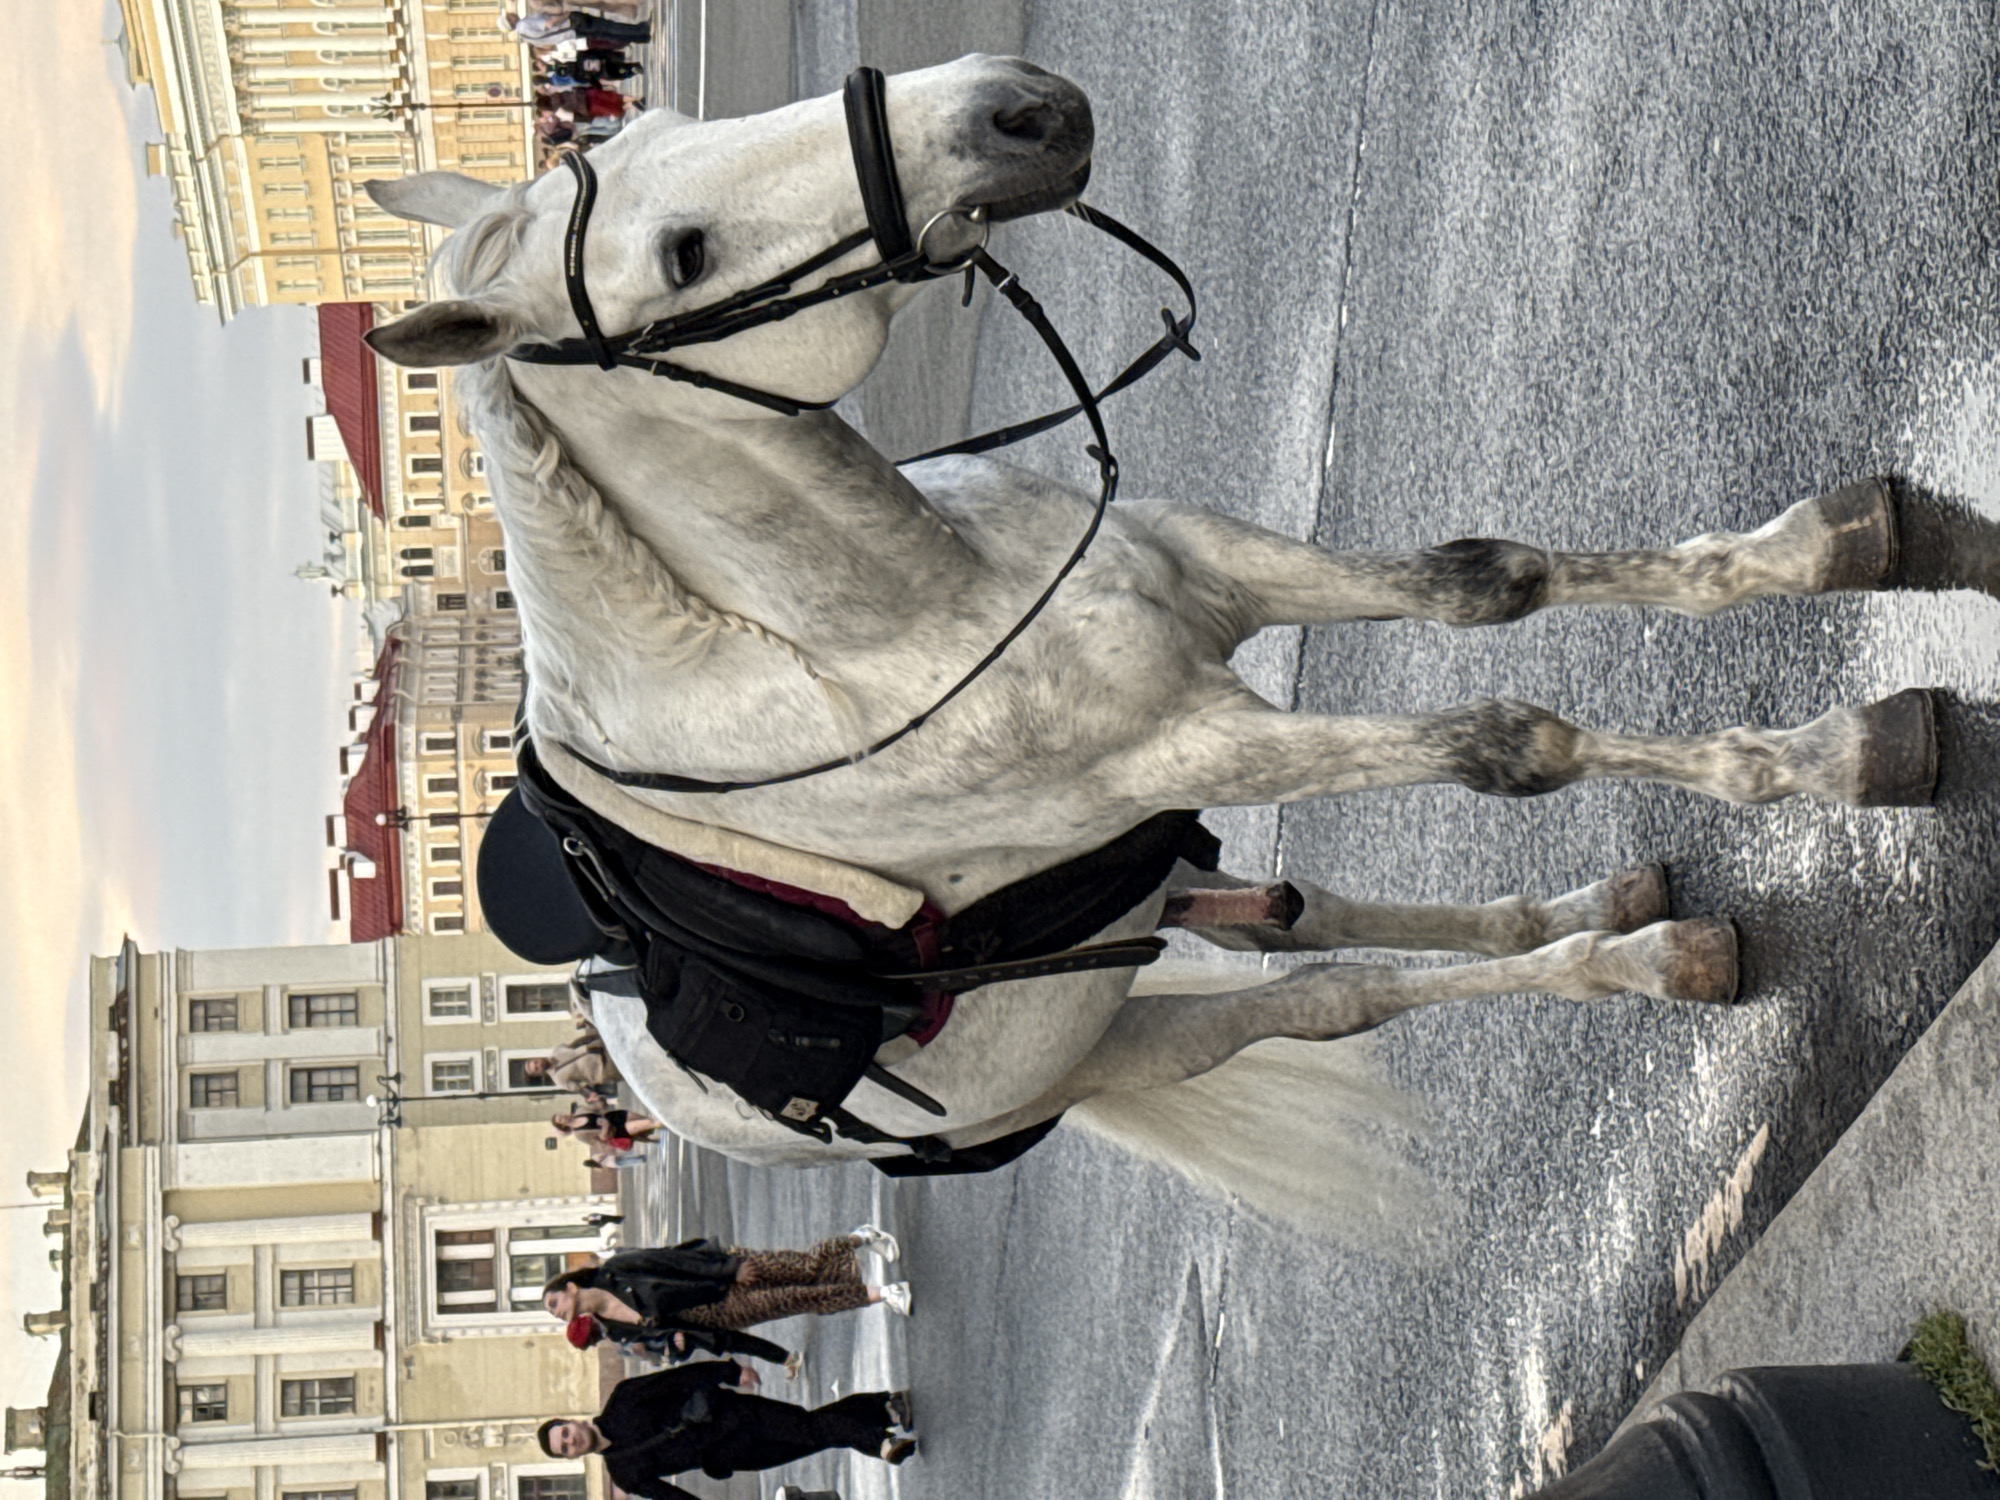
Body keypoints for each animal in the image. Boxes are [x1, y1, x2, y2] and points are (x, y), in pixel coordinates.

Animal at [358, 56, 1936, 1194]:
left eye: (675, 120)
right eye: (684, 255)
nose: (1019, 107)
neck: (885, 619)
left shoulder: (1219, 578)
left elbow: (1490, 583)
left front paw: (1815, 550)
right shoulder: (1192, 747)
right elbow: (1509, 742)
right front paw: (1823, 759)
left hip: (1148, 898)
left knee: (1310, 922)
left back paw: (1584, 914)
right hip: (1124, 1037)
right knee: (1334, 997)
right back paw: (1632, 958)